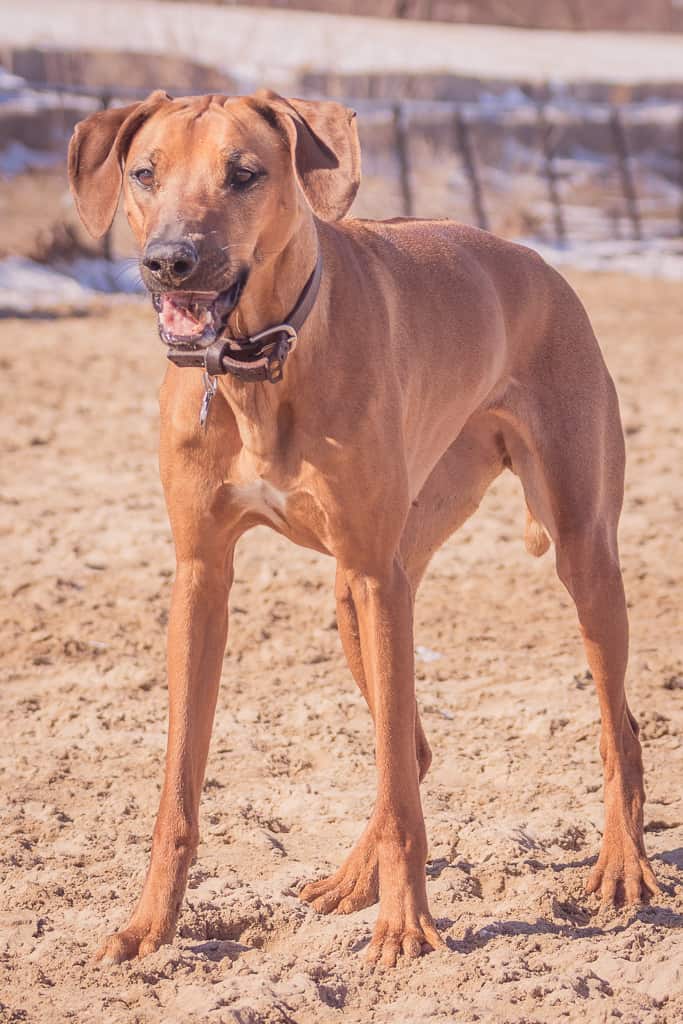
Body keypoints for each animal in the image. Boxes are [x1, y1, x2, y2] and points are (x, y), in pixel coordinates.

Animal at [68, 90, 655, 966]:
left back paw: (620, 864)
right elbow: (178, 788)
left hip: (576, 552)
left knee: (612, 727)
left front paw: (406, 929)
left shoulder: (380, 577)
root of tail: (538, 262)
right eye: (144, 173)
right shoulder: (202, 576)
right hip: (364, 584)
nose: (170, 261)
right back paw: (353, 878)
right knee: (408, 748)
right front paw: (148, 929)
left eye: (245, 174)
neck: (260, 365)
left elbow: (402, 796)